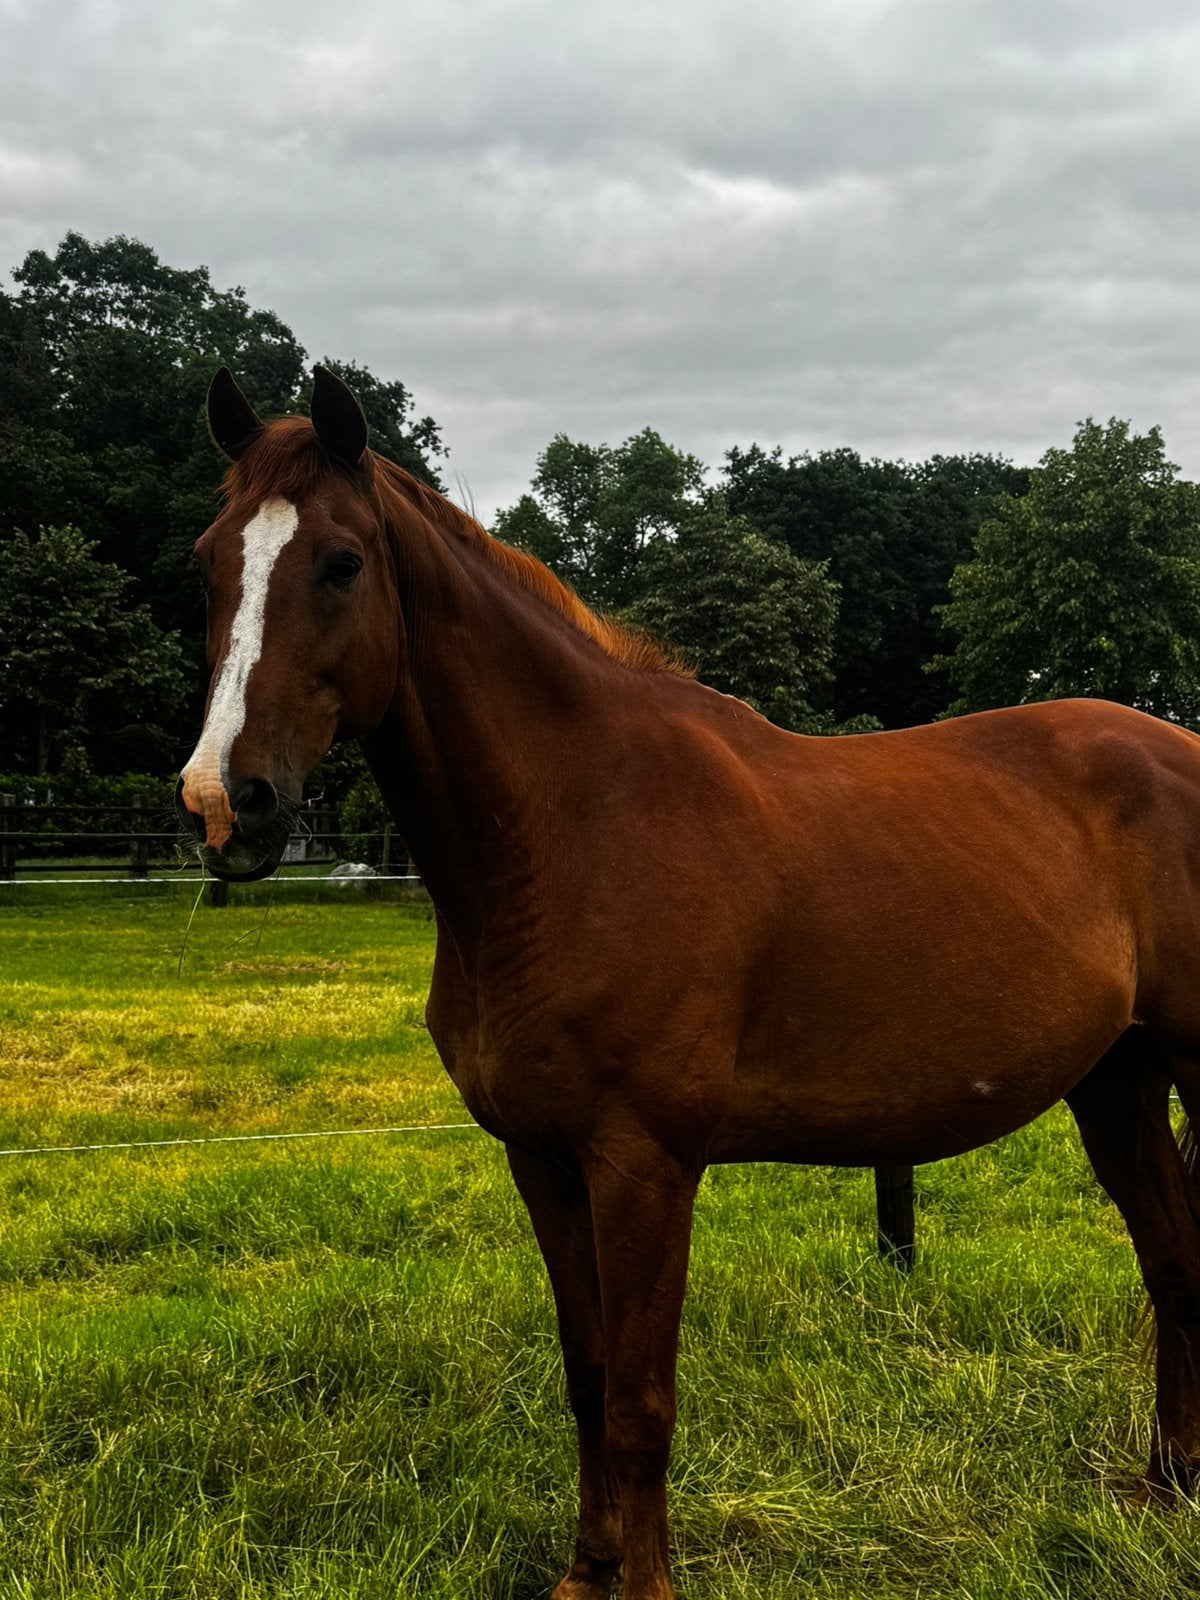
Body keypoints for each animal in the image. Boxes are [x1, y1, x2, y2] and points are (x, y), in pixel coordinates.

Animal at [178, 365, 1200, 1600]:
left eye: (340, 562)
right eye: (209, 563)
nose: (225, 802)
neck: (571, 828)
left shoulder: (644, 1167)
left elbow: (640, 1402)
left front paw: (645, 1582)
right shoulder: (543, 1161)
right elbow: (585, 1376)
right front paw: (585, 1573)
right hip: (1118, 1083)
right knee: (1175, 1262)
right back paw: (1166, 1488)